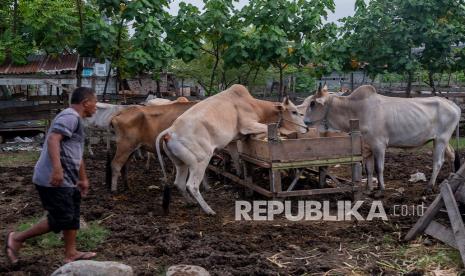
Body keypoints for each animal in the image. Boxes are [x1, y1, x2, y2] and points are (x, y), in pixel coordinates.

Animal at [156, 84, 308, 216]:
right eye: (294, 112)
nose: (306, 128)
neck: (254, 105)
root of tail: (170, 131)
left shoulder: (232, 141)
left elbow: (236, 157)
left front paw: (240, 174)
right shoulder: (248, 125)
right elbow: (269, 130)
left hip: (181, 164)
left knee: (179, 183)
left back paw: (190, 203)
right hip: (200, 162)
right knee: (191, 185)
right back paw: (209, 210)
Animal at [302, 84, 458, 194]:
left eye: (313, 103)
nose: (304, 121)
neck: (356, 110)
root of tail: (453, 105)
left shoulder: (379, 145)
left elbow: (379, 168)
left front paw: (381, 189)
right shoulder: (367, 147)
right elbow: (369, 169)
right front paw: (368, 188)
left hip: (441, 139)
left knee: (438, 162)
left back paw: (430, 186)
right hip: (440, 140)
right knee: (452, 154)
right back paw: (452, 176)